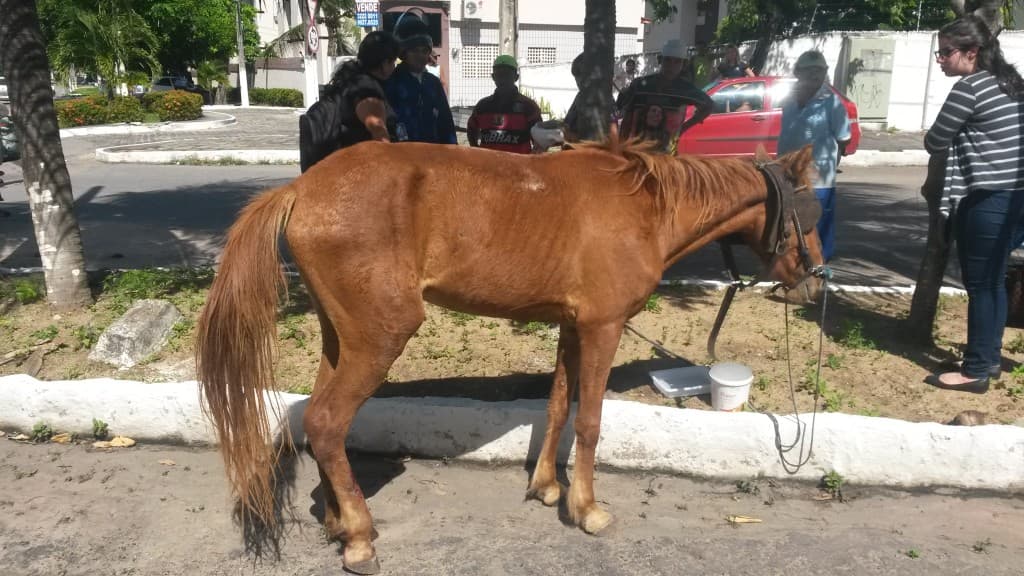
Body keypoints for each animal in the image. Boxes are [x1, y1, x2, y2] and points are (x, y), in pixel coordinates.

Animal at [196, 138, 823, 574]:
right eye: (812, 211)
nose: (814, 281)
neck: (645, 207)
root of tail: (300, 190)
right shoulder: (603, 327)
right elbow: (591, 422)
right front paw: (587, 509)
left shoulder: (572, 325)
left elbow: (558, 406)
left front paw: (546, 488)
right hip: (382, 336)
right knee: (328, 421)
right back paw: (360, 538)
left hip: (340, 337)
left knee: (318, 417)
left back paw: (335, 521)